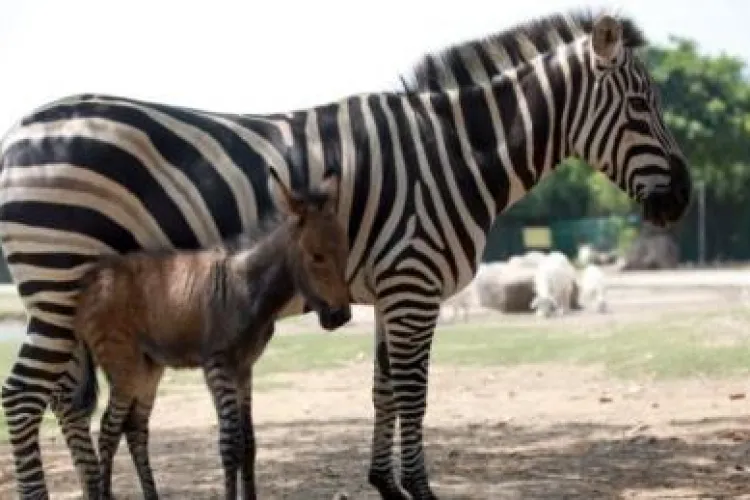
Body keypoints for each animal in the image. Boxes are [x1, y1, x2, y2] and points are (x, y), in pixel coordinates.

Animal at [0, 10, 691, 500]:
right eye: (641, 107)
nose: (683, 198)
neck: (452, 157)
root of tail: (23, 128)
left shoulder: (393, 289)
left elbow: (384, 390)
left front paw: (385, 485)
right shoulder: (414, 282)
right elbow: (414, 393)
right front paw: (420, 489)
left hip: (70, 300)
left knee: (61, 400)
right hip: (58, 284)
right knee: (23, 397)